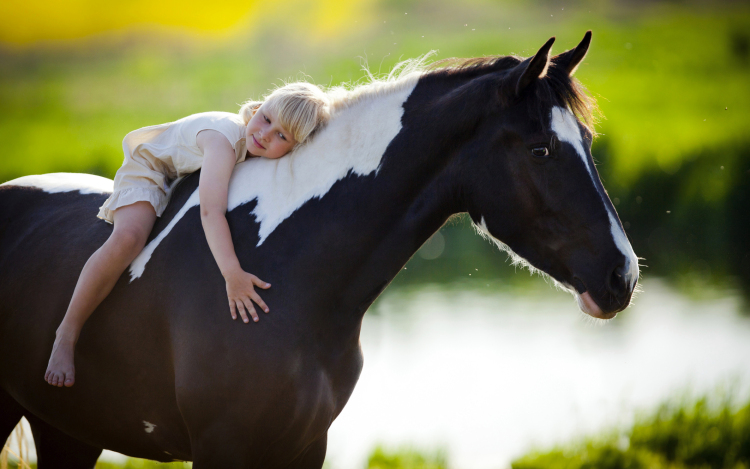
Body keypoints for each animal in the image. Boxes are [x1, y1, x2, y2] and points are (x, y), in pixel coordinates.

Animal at [0, 31, 640, 466]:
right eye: (541, 150)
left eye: (587, 140)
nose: (622, 276)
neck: (290, 272)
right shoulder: (221, 447)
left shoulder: (305, 447)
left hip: (68, 431)